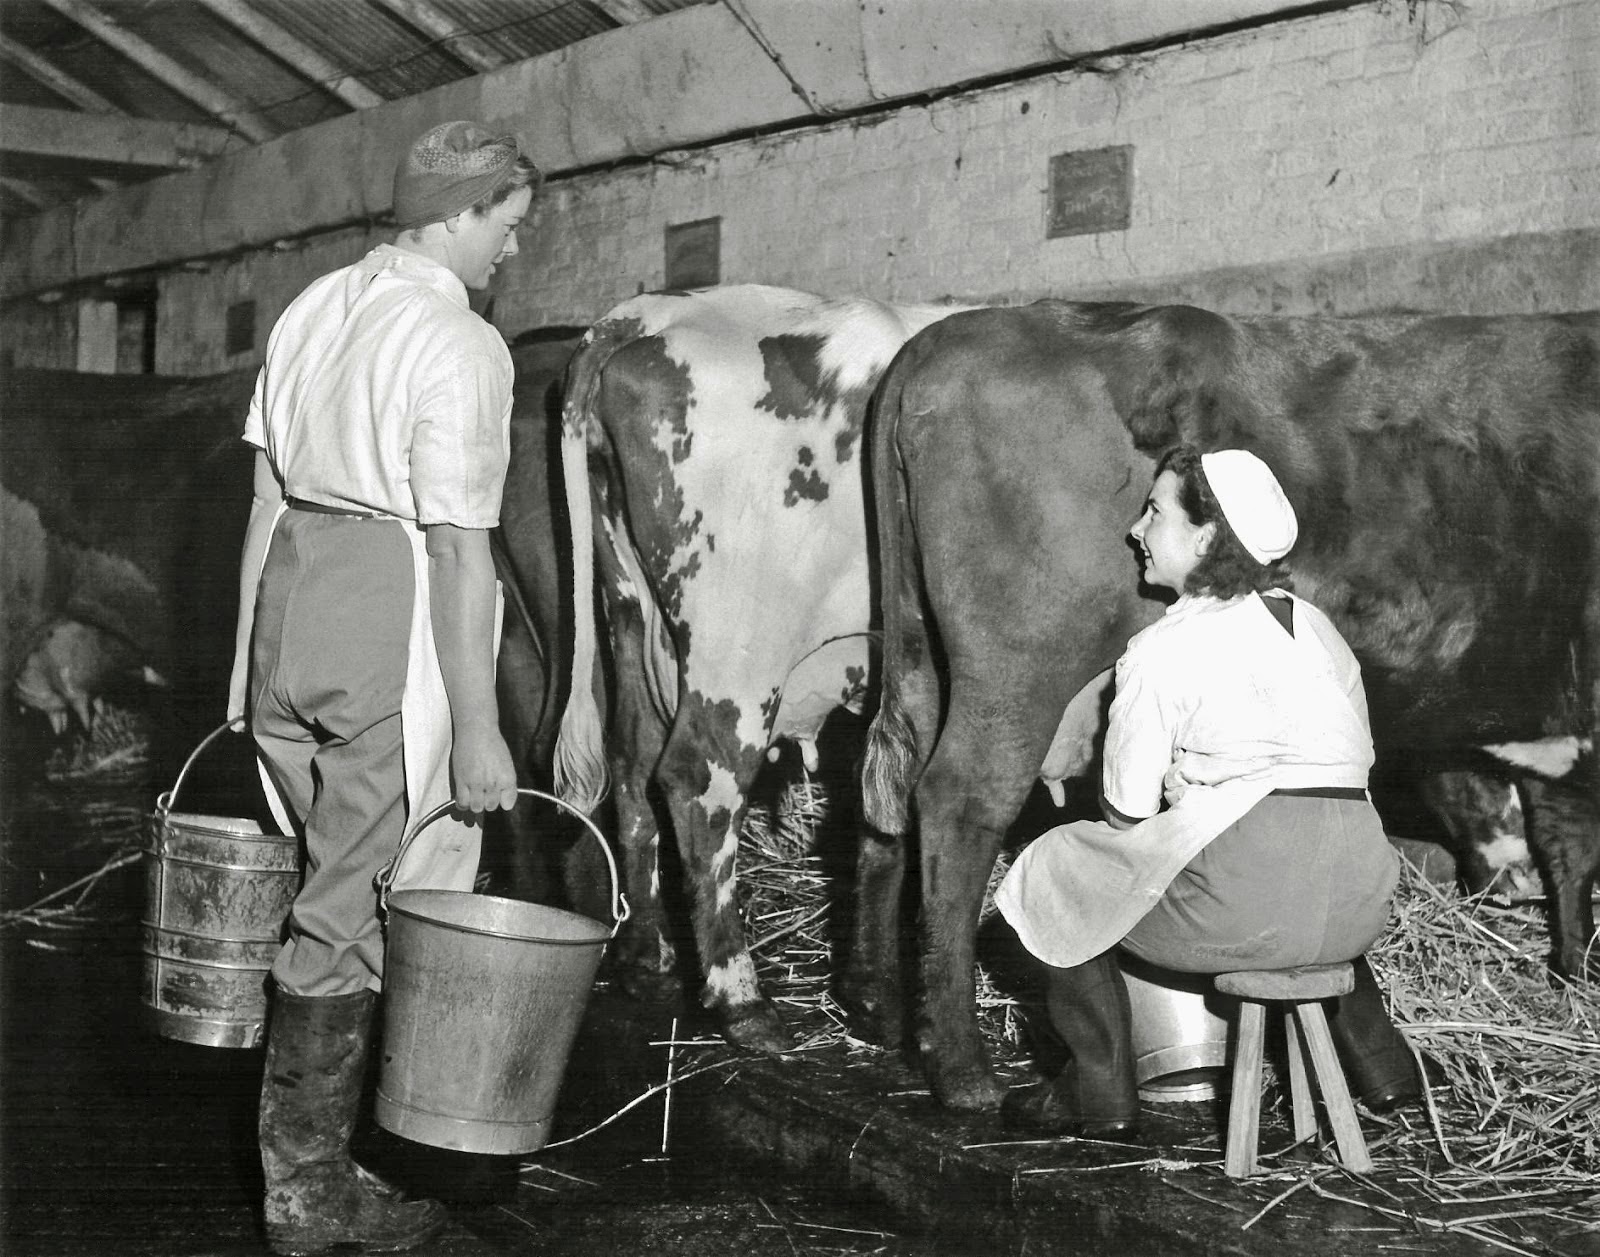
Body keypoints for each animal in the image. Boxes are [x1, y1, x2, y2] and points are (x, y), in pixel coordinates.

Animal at [553, 284, 960, 1049]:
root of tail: (653, 312)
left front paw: (870, 994)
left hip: (635, 619)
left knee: (631, 764)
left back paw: (647, 959)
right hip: (736, 649)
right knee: (697, 779)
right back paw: (741, 998)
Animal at [864, 303, 1600, 1106]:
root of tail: (951, 333)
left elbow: (1560, 847)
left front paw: (1571, 972)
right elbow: (1575, 849)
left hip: (920, 650)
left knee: (891, 789)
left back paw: (883, 1014)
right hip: (1019, 668)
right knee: (959, 803)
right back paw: (962, 1068)